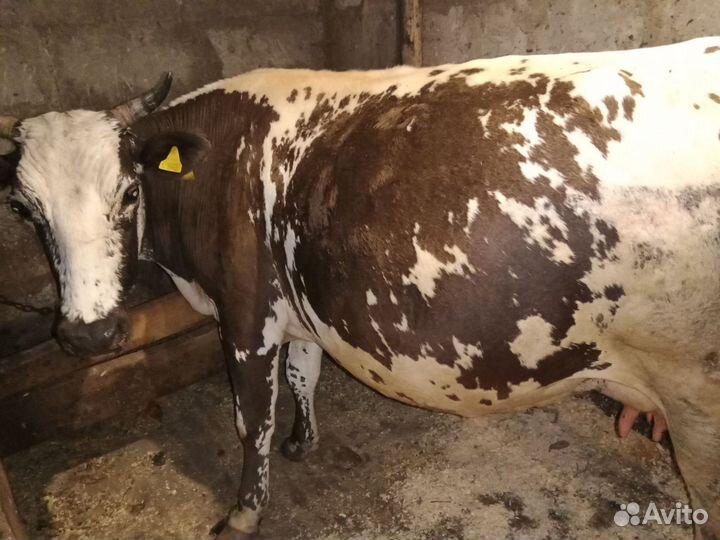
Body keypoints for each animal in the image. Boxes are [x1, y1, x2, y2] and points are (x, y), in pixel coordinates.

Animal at [2, 36, 720, 539]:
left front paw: (244, 512)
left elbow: (250, 417)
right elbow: (304, 373)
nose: (89, 332)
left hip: (697, 408)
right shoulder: (297, 308)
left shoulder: (246, 312)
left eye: (128, 192)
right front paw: (303, 441)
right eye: (26, 209)